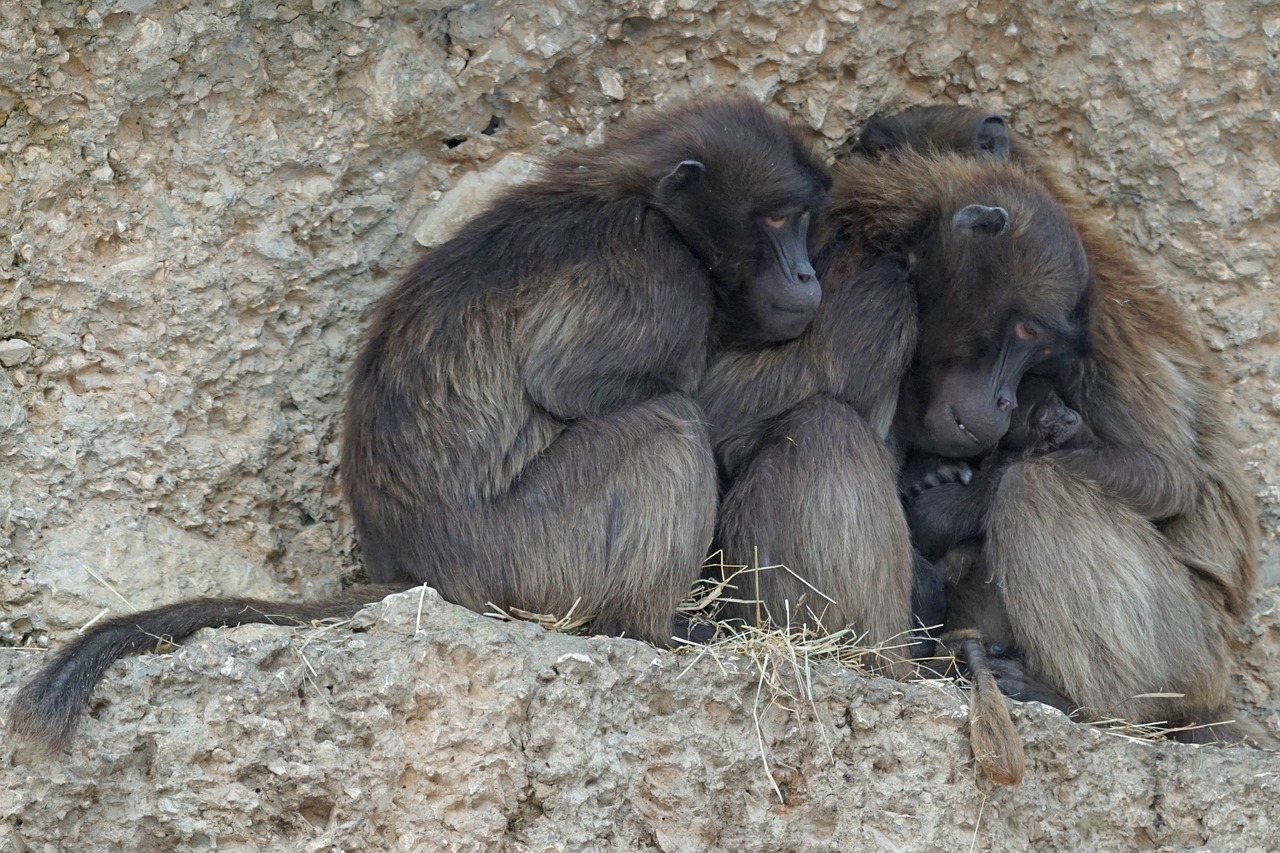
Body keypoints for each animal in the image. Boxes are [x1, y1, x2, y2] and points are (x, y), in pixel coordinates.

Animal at [10, 97, 829, 753]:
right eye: (777, 219)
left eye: (801, 222)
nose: (807, 275)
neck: (647, 200)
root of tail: (417, 572)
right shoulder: (658, 273)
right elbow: (574, 383)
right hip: (529, 559)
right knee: (668, 427)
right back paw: (653, 630)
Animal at [855, 106, 1254, 742]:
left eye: (1032, 339)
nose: (999, 400)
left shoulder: (1099, 315)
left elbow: (1164, 474)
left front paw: (937, 508)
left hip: (1188, 652)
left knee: (1036, 488)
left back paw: (1081, 705)